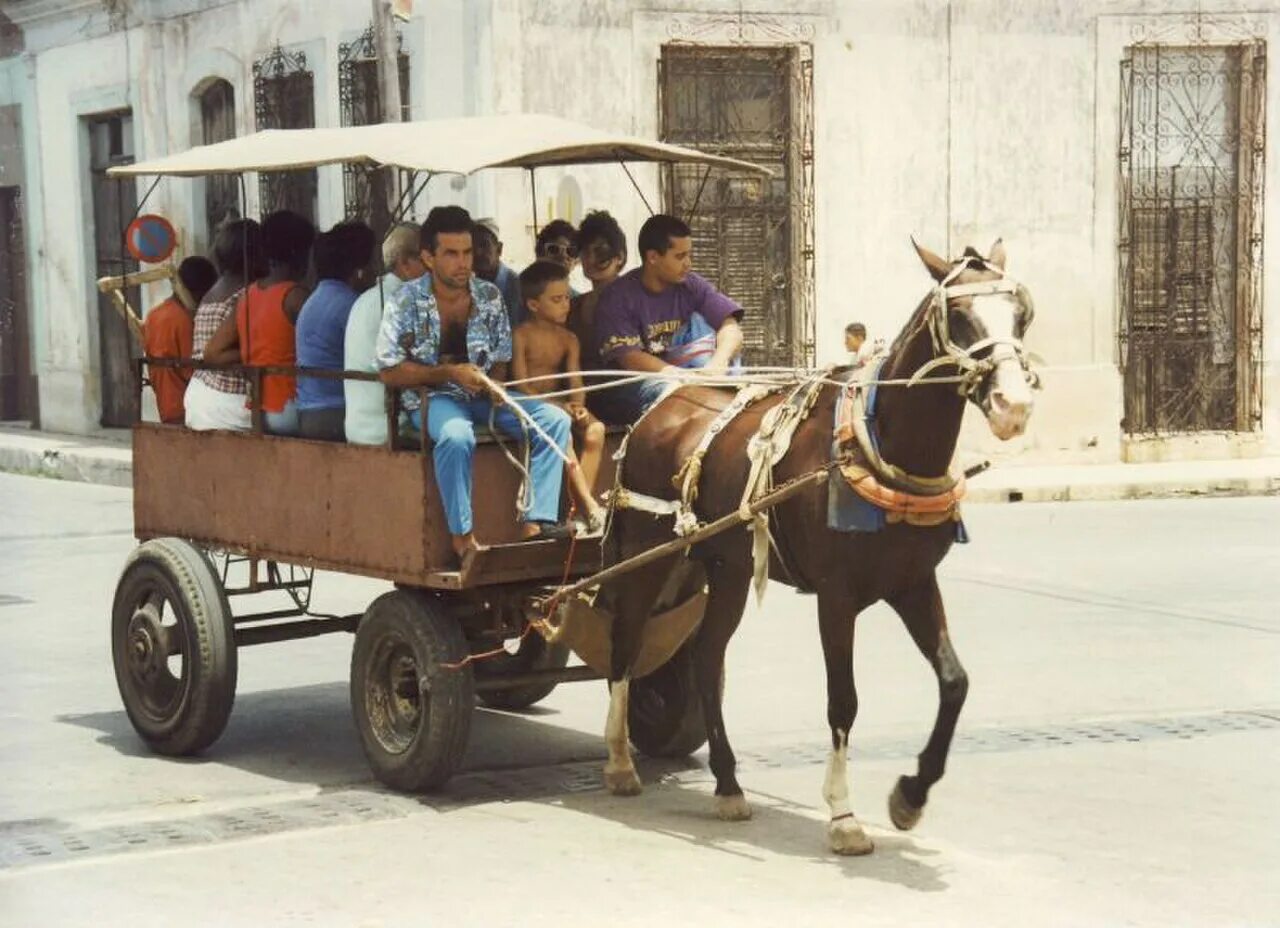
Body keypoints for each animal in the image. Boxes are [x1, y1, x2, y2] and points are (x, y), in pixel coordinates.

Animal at [593, 240, 1034, 855]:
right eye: (962, 317)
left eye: (1021, 314)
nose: (1013, 405)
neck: (879, 445)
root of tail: (660, 408)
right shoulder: (836, 595)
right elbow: (843, 698)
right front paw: (844, 816)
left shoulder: (913, 583)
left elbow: (954, 682)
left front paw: (910, 797)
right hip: (644, 554)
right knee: (626, 643)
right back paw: (618, 763)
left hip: (727, 566)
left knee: (706, 657)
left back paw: (728, 784)